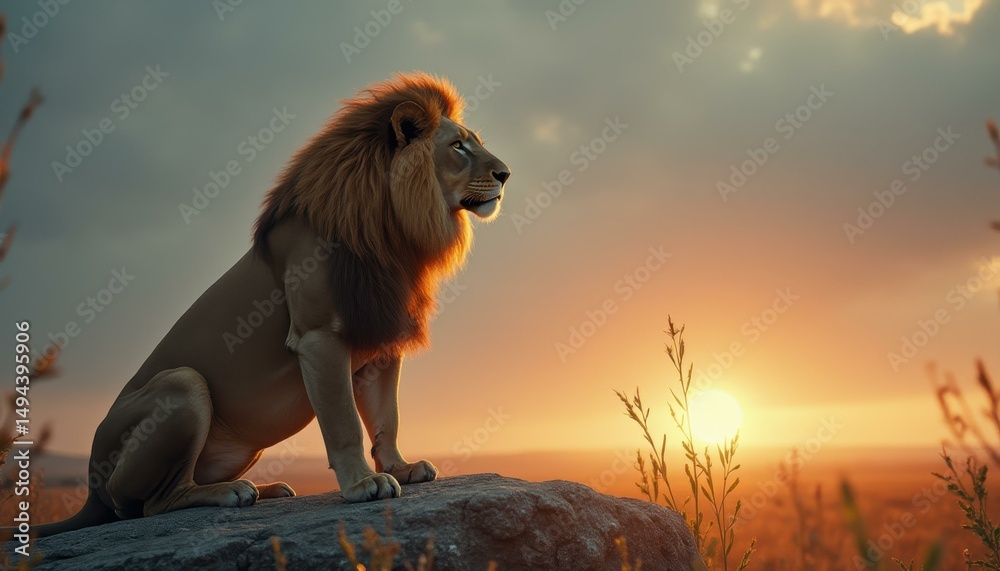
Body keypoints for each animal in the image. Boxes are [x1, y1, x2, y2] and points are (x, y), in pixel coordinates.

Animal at [21, 72, 510, 536]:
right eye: (459, 146)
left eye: (475, 141)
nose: (506, 174)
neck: (395, 232)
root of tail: (90, 487)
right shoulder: (319, 336)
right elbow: (344, 421)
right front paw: (362, 484)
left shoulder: (381, 336)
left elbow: (387, 416)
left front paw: (401, 468)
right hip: (183, 385)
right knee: (152, 504)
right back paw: (234, 492)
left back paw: (268, 487)